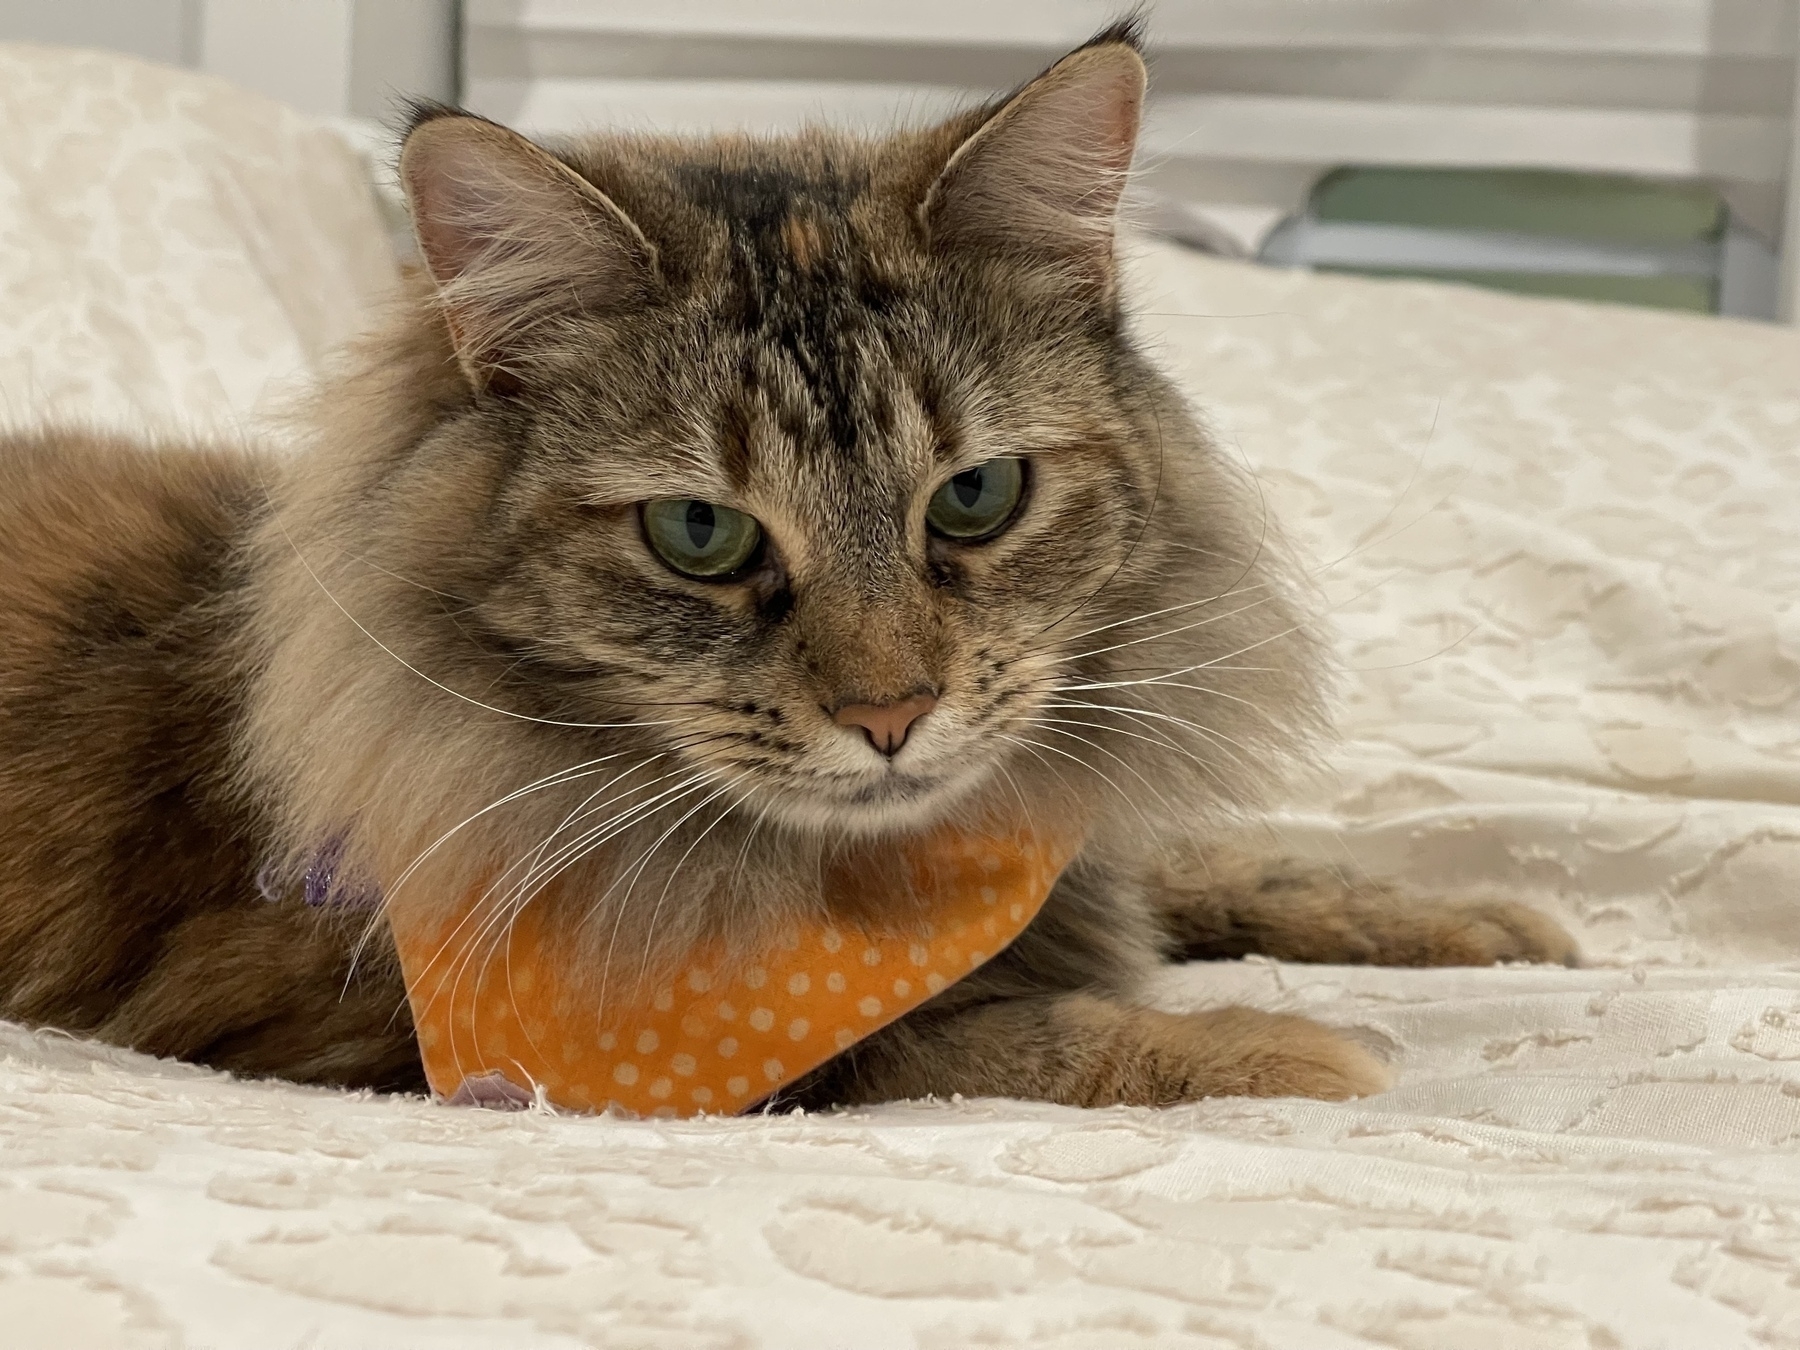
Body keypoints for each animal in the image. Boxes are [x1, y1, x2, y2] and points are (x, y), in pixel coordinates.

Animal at [0, 23, 1576, 1108]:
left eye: (976, 499)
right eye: (701, 535)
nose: (893, 717)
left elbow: (1209, 857)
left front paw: (1474, 919)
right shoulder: (379, 1028)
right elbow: (992, 1034)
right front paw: (1282, 1043)